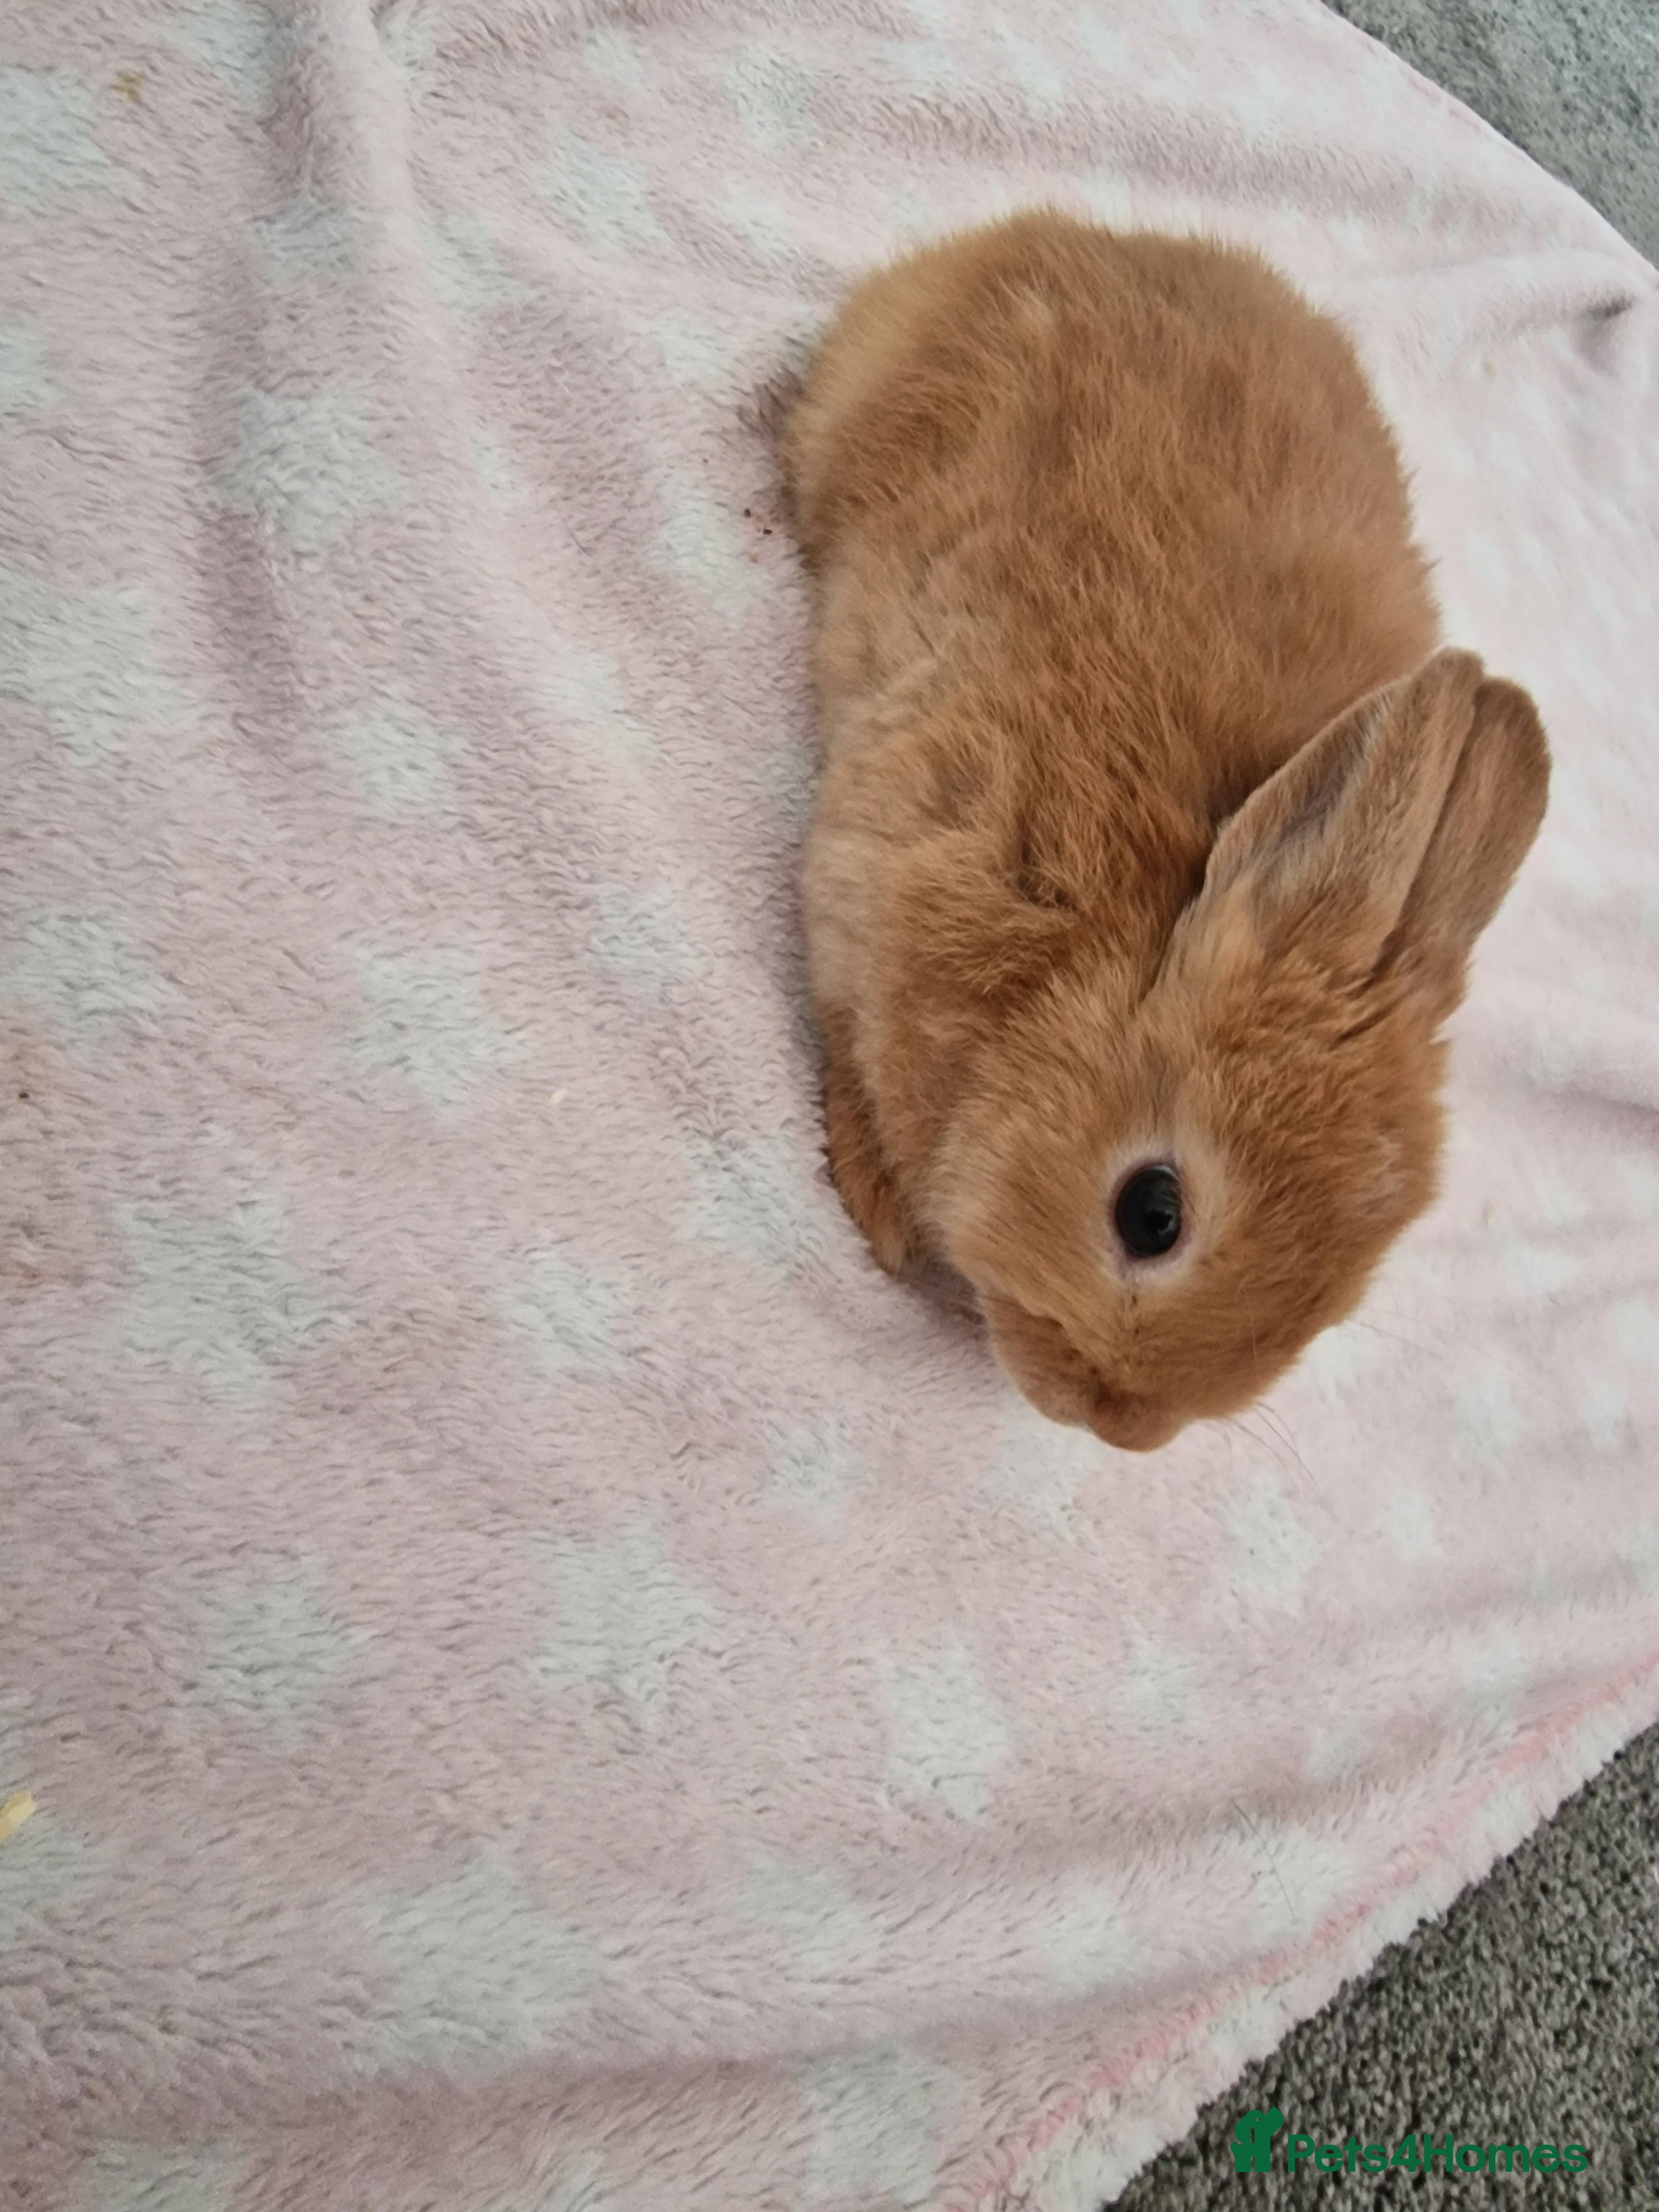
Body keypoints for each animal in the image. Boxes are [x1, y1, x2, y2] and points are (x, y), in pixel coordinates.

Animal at [781, 210, 1550, 1452]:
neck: (1080, 968)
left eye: (1334, 1305)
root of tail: (1083, 232)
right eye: (1153, 1212)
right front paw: (878, 1208)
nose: (1119, 1423)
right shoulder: (875, 882)